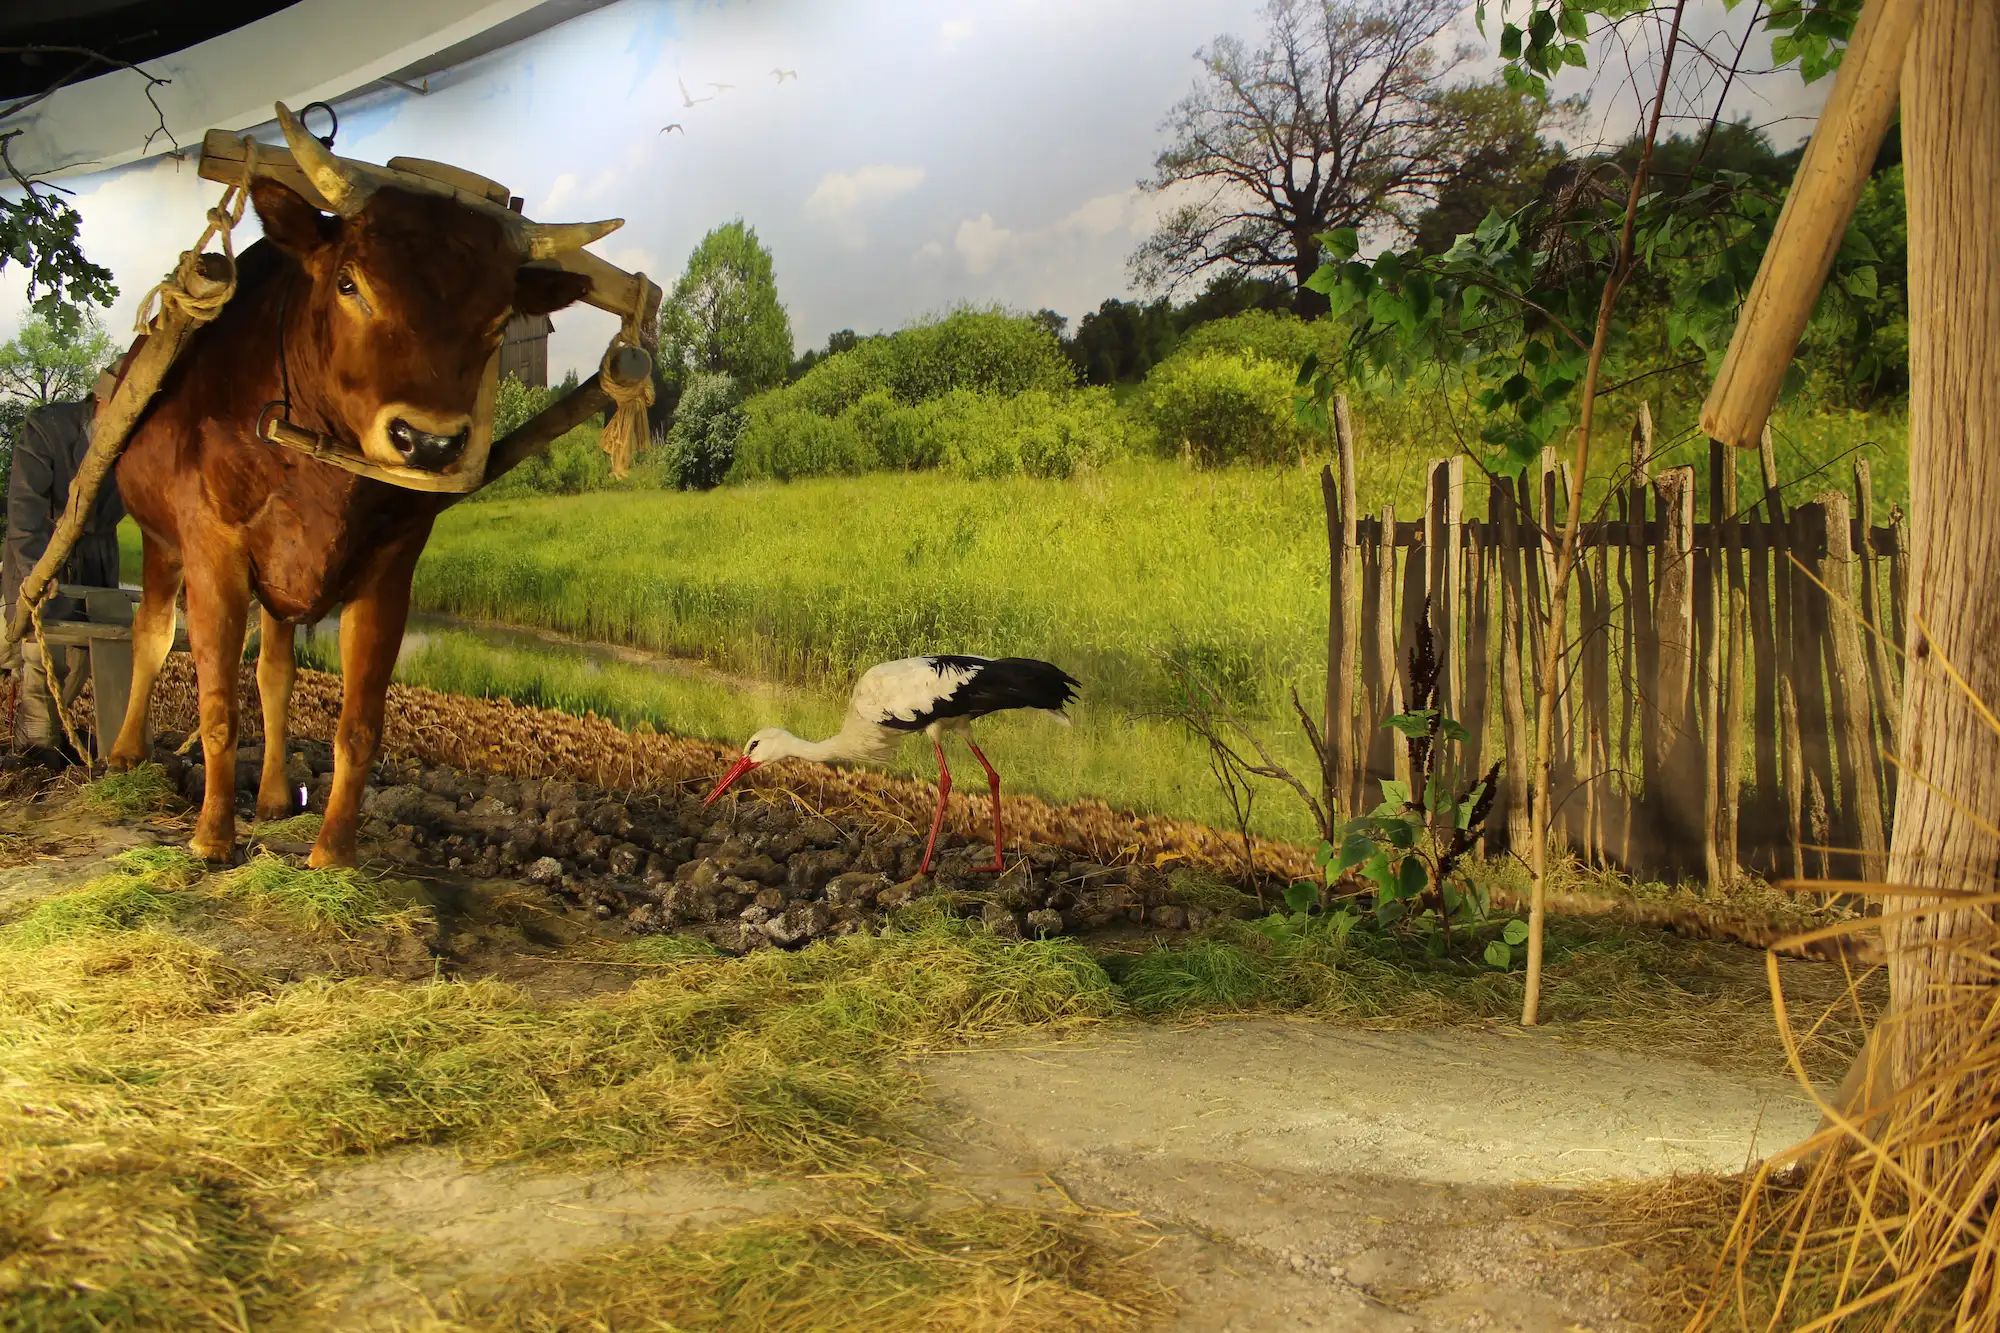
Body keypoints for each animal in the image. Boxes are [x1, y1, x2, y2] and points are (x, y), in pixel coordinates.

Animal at [107, 104, 614, 868]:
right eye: (350, 284)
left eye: (499, 320)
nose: (429, 442)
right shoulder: (212, 549)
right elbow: (217, 703)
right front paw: (211, 837)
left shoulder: (389, 570)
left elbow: (359, 722)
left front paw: (333, 854)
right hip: (158, 540)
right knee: (150, 635)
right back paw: (125, 754)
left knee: (275, 672)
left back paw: (275, 794)